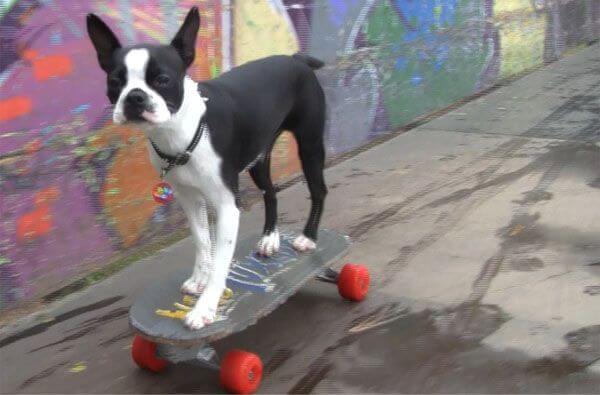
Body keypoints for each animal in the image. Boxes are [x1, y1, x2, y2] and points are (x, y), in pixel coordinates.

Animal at [86, 8, 326, 332]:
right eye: (115, 81)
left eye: (162, 79)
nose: (134, 96)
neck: (179, 133)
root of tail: (296, 58)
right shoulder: (189, 198)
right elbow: (202, 241)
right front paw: (199, 277)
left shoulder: (226, 206)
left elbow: (221, 261)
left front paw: (205, 307)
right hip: (258, 158)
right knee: (271, 192)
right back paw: (269, 238)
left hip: (310, 145)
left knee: (318, 190)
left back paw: (308, 237)